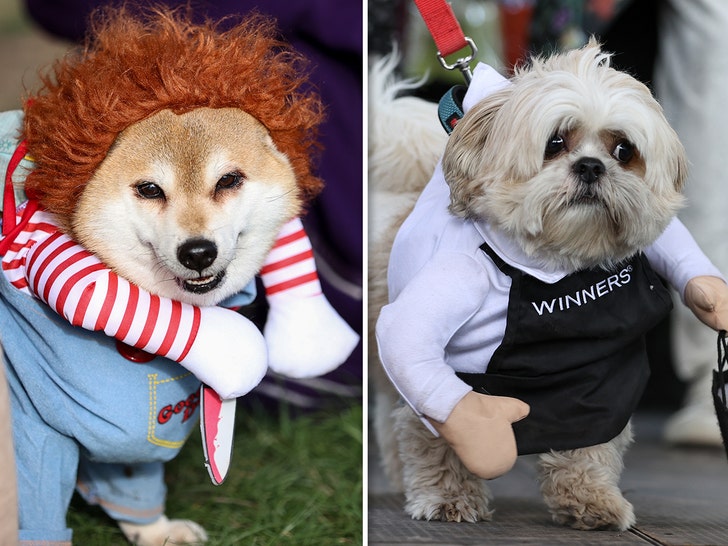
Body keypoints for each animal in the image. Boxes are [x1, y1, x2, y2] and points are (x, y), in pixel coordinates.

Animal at [370, 39, 728, 528]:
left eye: (624, 150)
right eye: (555, 143)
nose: (592, 166)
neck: (553, 266)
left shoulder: (600, 374)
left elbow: (591, 439)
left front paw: (590, 498)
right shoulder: (454, 289)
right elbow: (431, 406)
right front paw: (449, 496)